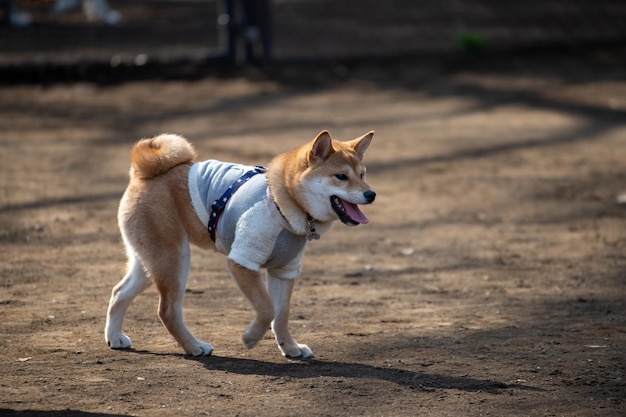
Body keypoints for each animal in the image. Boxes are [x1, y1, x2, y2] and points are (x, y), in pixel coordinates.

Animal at [104, 131, 372, 358]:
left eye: (362, 174)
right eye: (341, 176)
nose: (371, 194)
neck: (283, 198)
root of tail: (142, 174)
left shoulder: (284, 270)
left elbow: (281, 315)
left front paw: (290, 348)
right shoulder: (242, 262)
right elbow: (267, 309)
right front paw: (251, 337)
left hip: (150, 263)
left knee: (119, 292)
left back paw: (115, 337)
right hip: (174, 260)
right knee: (167, 311)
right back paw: (194, 346)